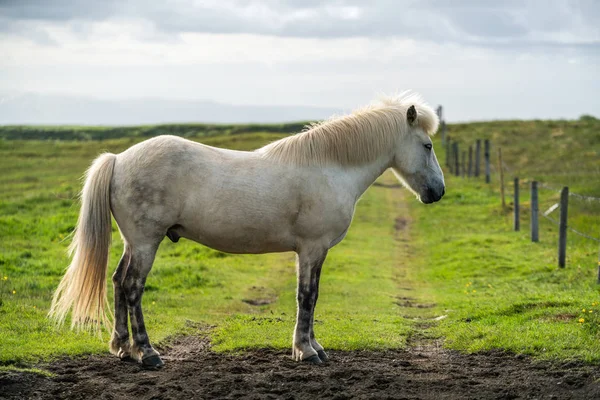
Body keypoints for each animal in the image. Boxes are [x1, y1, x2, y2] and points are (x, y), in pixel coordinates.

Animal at [50, 91, 446, 368]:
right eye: (427, 145)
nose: (438, 192)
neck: (329, 167)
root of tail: (118, 159)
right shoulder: (312, 248)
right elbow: (307, 296)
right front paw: (306, 351)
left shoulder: (313, 252)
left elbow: (311, 296)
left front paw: (313, 347)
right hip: (147, 243)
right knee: (132, 287)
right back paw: (147, 353)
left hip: (133, 243)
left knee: (118, 282)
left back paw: (122, 349)